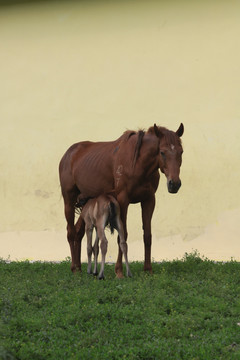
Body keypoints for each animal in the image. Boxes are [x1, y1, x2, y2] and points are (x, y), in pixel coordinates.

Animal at [58, 122, 184, 278]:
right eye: (162, 152)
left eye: (181, 152)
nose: (175, 184)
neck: (138, 163)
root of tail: (68, 154)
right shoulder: (123, 201)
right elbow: (122, 236)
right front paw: (119, 271)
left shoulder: (149, 200)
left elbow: (147, 235)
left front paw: (148, 269)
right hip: (69, 200)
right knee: (70, 232)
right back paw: (74, 268)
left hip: (86, 206)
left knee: (78, 232)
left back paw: (80, 268)